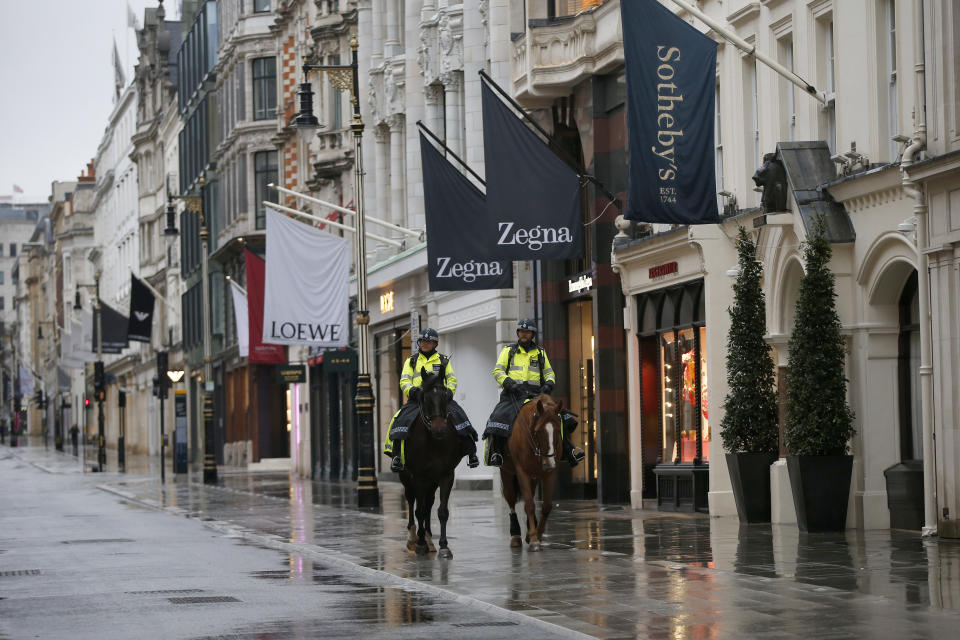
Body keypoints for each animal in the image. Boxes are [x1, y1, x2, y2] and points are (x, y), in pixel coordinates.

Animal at [396, 368, 460, 556]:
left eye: (445, 395)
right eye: (424, 397)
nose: (439, 429)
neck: (433, 442)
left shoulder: (446, 475)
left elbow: (442, 511)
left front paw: (443, 546)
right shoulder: (418, 476)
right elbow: (420, 510)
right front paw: (420, 543)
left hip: (432, 480)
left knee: (429, 503)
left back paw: (430, 539)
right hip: (406, 476)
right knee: (411, 500)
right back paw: (413, 538)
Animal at [502, 396, 564, 552]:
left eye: (557, 430)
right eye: (539, 431)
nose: (549, 463)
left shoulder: (550, 474)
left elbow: (547, 506)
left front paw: (537, 534)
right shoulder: (521, 472)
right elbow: (529, 504)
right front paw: (534, 540)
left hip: (534, 477)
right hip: (506, 473)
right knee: (511, 499)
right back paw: (516, 535)